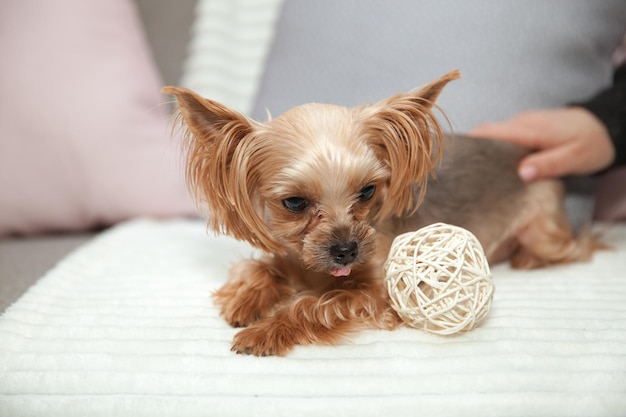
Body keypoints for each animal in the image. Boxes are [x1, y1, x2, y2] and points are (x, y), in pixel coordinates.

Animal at [162, 70, 596, 354]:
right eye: (294, 203)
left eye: (368, 191)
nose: (347, 251)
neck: (315, 272)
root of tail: (526, 155)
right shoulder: (291, 254)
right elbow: (260, 267)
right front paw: (245, 299)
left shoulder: (379, 294)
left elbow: (315, 304)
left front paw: (265, 331)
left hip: (543, 226)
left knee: (579, 245)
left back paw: (531, 256)